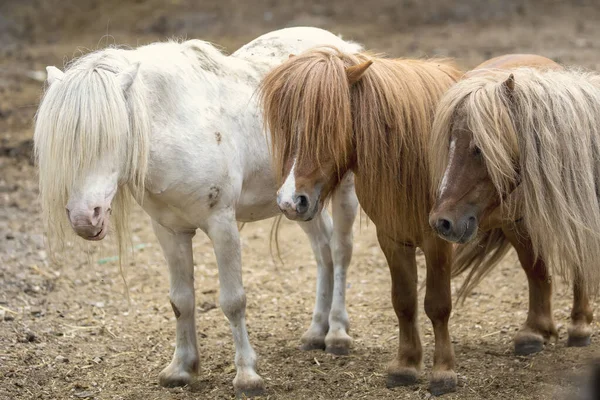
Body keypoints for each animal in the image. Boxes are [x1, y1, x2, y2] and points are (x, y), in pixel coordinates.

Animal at [35, 28, 360, 396]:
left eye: (112, 136)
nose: (83, 218)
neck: (178, 124)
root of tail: (343, 49)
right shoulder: (170, 231)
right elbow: (181, 300)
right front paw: (181, 368)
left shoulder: (222, 225)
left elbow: (233, 300)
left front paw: (247, 375)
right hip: (301, 202)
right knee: (323, 251)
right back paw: (316, 331)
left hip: (342, 188)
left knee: (341, 250)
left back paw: (337, 333)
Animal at [258, 46, 464, 394]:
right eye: (284, 128)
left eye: (328, 127)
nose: (290, 201)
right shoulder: (392, 238)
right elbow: (404, 301)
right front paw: (406, 366)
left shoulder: (438, 242)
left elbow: (437, 305)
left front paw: (443, 372)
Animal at [432, 54, 596, 352]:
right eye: (448, 145)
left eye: (479, 148)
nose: (443, 222)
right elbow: (538, 270)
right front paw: (536, 332)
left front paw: (580, 327)